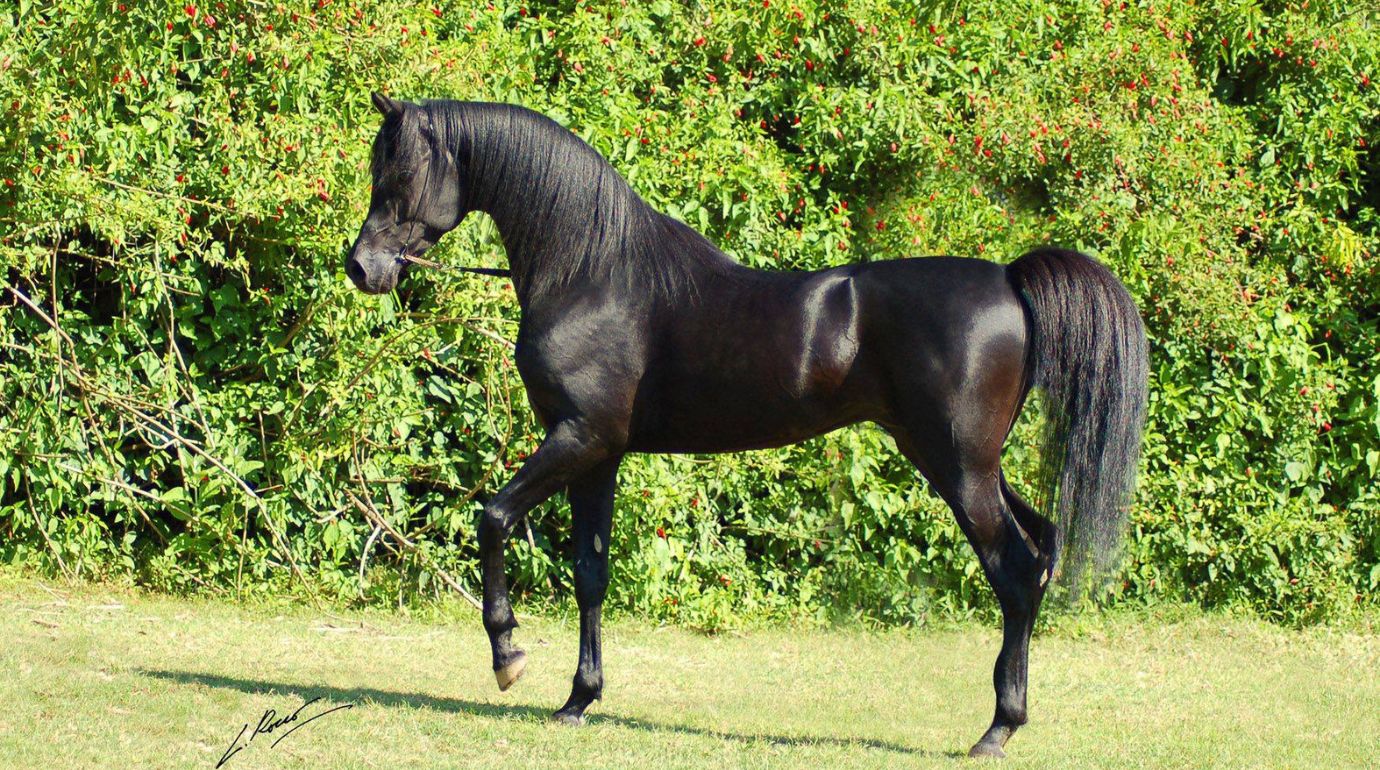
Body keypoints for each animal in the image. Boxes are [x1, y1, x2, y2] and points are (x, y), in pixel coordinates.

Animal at [345, 92, 1149, 759]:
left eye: (402, 172)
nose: (362, 267)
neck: (594, 271)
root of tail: (1009, 279)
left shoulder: (577, 438)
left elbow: (493, 518)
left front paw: (508, 657)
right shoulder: (600, 455)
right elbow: (590, 574)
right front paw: (579, 699)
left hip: (959, 467)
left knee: (1012, 571)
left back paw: (996, 730)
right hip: (967, 462)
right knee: (1038, 551)